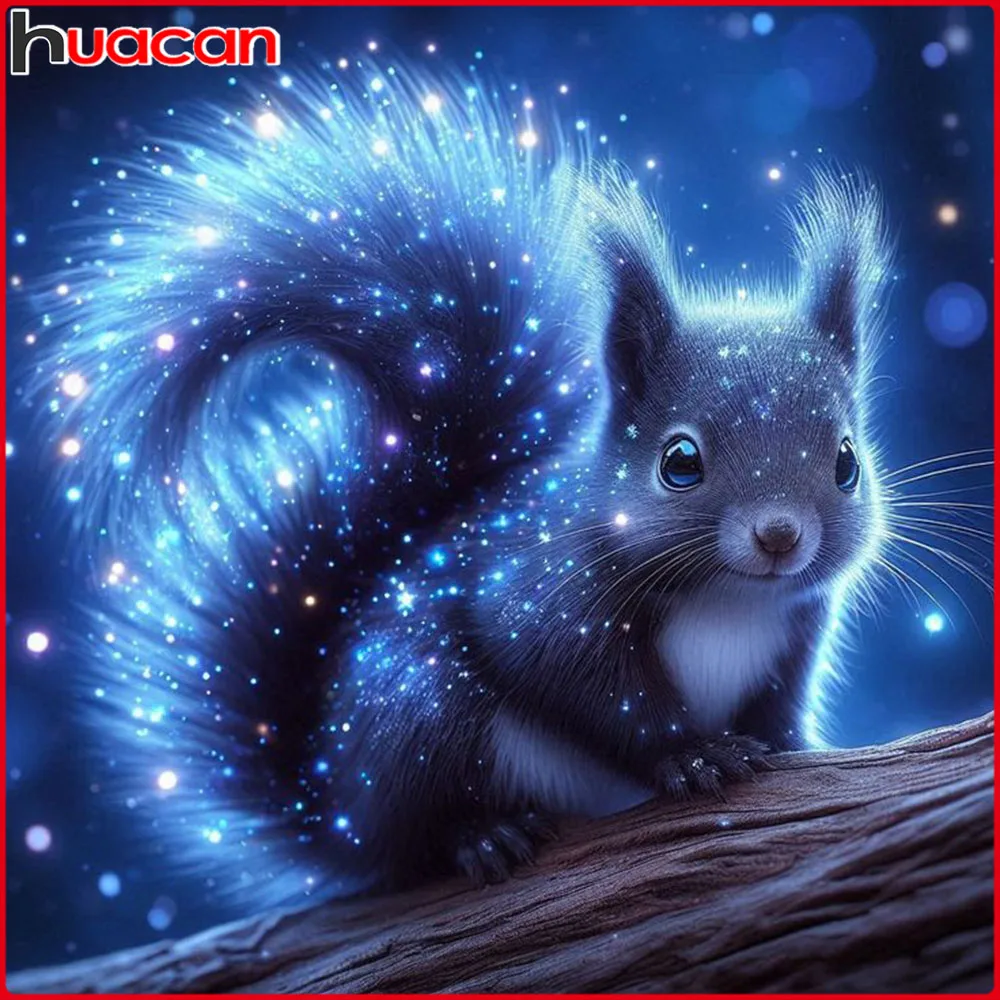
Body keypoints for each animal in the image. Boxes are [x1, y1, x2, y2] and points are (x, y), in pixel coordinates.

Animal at [32, 59, 892, 906]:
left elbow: (779, 708)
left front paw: (797, 747)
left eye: (847, 462)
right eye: (679, 462)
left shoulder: (795, 637)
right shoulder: (544, 597)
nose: (779, 535)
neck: (728, 600)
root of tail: (334, 807)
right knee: (415, 835)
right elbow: (594, 691)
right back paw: (481, 835)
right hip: (418, 711)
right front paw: (691, 754)